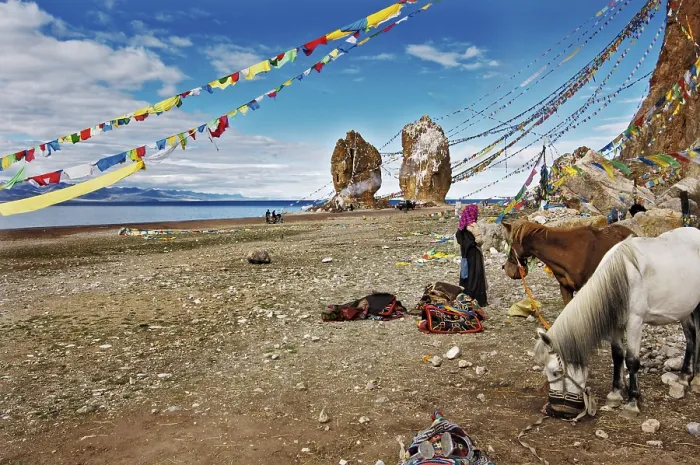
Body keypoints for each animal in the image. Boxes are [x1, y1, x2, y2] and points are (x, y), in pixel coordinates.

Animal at [533, 227, 700, 418]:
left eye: (555, 372)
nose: (556, 411)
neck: (619, 279)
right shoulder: (615, 325)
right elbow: (618, 355)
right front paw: (616, 393)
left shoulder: (635, 322)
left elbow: (632, 360)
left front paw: (632, 401)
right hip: (684, 309)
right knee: (692, 336)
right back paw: (686, 376)